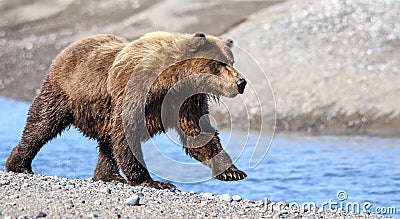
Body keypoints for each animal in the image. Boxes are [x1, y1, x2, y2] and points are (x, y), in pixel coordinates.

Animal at [6, 31, 248, 188]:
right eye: (219, 63)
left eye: (232, 61)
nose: (241, 82)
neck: (173, 81)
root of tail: (67, 48)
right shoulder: (137, 91)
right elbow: (126, 131)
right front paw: (151, 181)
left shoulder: (186, 102)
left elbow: (198, 134)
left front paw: (232, 172)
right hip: (64, 93)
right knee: (41, 124)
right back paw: (19, 164)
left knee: (107, 143)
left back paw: (108, 175)